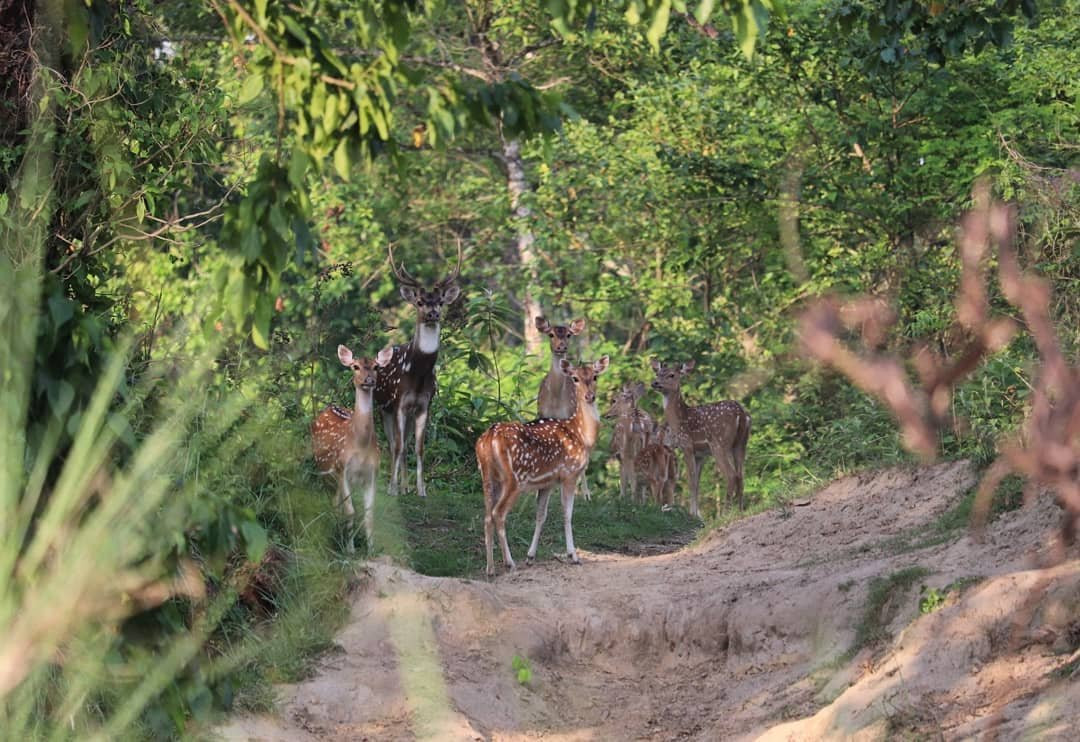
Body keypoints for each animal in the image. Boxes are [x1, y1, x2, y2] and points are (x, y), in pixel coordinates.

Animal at [311, 345, 395, 548]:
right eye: (355, 366)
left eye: (376, 366)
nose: (369, 380)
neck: (361, 446)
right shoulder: (342, 469)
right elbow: (350, 512)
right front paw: (350, 549)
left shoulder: (372, 474)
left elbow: (369, 514)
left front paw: (371, 548)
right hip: (325, 470)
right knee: (334, 501)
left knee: (337, 502)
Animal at [375, 245, 464, 498]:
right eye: (420, 302)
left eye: (441, 302)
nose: (433, 313)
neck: (417, 375)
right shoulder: (398, 403)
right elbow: (397, 446)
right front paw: (391, 488)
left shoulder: (424, 404)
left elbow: (419, 447)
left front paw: (421, 490)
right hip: (383, 407)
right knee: (393, 443)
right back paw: (396, 486)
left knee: (404, 443)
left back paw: (405, 487)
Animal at [477, 356, 613, 578]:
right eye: (575, 378)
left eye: (595, 376)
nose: (589, 396)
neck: (582, 436)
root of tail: (488, 439)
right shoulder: (569, 473)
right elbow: (567, 514)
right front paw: (573, 556)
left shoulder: (547, 482)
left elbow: (541, 515)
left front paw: (530, 556)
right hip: (514, 479)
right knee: (498, 514)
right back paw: (509, 563)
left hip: (488, 477)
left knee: (487, 516)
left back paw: (490, 569)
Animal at [648, 360, 751, 516]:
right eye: (657, 373)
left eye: (671, 375)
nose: (655, 383)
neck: (678, 420)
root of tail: (741, 414)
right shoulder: (701, 454)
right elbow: (697, 483)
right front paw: (696, 514)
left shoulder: (687, 445)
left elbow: (691, 481)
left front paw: (693, 514)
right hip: (740, 443)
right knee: (741, 475)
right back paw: (739, 510)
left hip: (719, 444)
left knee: (731, 475)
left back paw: (726, 512)